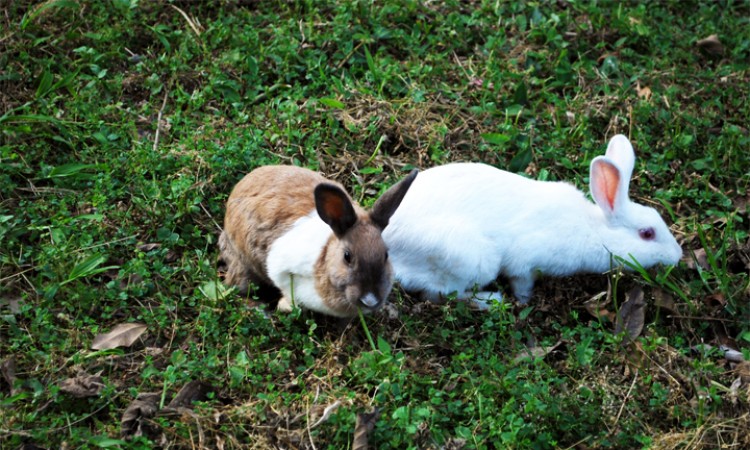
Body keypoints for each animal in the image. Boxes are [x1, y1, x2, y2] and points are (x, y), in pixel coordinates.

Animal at [219, 165, 417, 318]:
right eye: (347, 257)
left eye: (386, 255)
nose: (370, 300)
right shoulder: (279, 266)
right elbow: (285, 289)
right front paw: (286, 306)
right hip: (243, 265)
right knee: (235, 286)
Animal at [382, 134, 682, 306]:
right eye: (647, 233)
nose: (678, 256)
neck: (593, 229)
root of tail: (388, 242)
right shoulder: (524, 262)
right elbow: (522, 281)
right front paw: (525, 302)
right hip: (473, 261)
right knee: (440, 294)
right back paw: (491, 301)